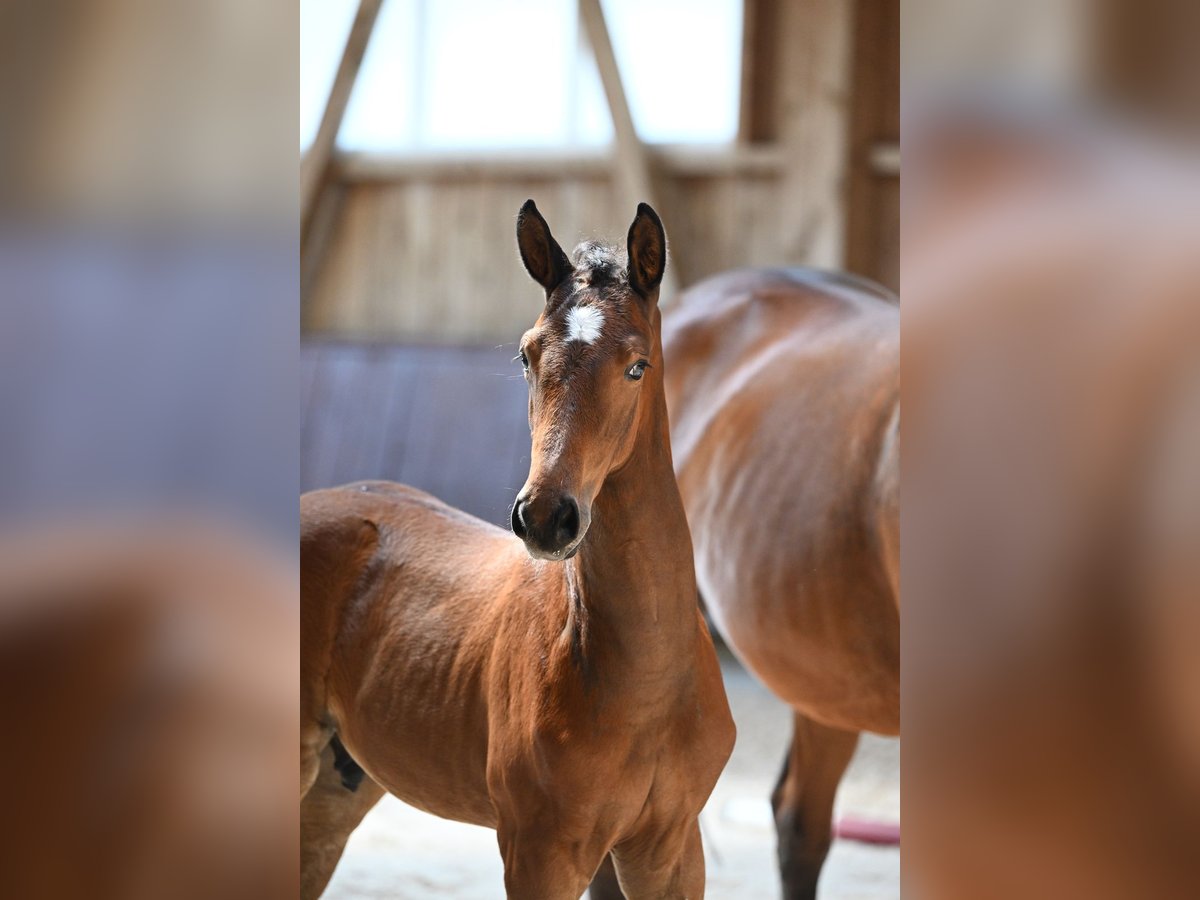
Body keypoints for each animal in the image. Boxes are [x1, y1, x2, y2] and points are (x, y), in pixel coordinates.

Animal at [298, 200, 729, 897]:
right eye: (527, 356)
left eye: (637, 365)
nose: (546, 517)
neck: (644, 683)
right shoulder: (539, 851)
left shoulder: (668, 849)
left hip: (336, 790)